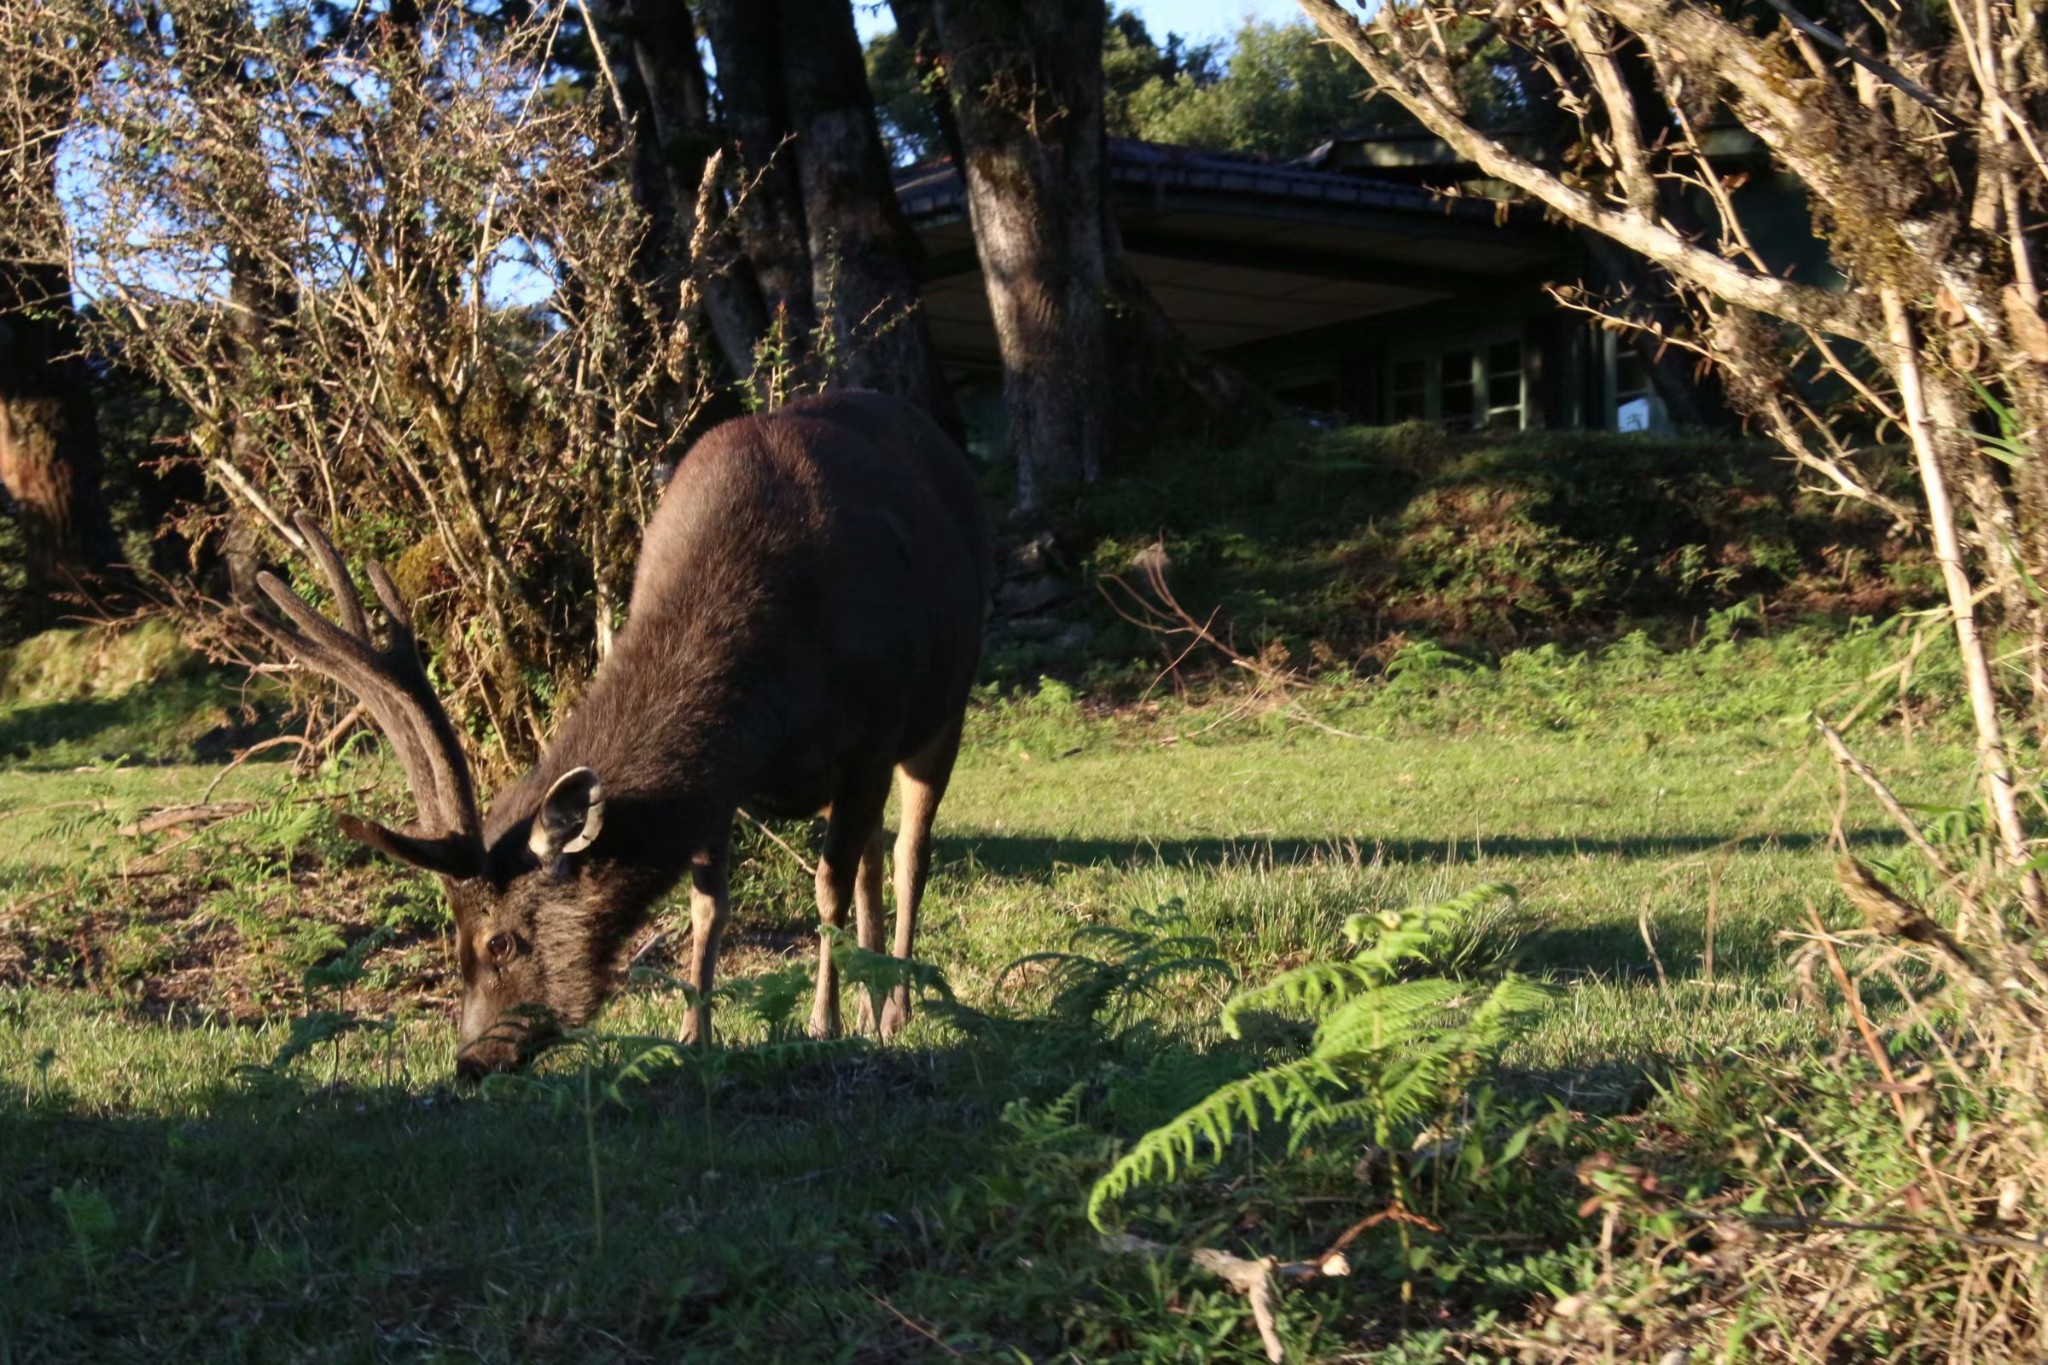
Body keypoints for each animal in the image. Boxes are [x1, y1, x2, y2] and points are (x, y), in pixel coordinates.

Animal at [243, 386, 995, 1080]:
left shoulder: (872, 731)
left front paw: (823, 1023)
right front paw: (694, 1036)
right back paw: (877, 1004)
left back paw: (894, 1008)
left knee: (909, 855)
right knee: (873, 857)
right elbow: (708, 904)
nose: (472, 1060)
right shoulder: (724, 779)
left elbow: (828, 887)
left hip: (943, 707)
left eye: (499, 943)